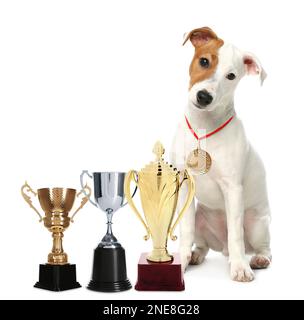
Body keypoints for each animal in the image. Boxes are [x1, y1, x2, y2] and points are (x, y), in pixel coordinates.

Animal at [170, 27, 272, 282]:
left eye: (231, 76)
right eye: (204, 61)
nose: (204, 97)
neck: (203, 129)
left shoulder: (233, 189)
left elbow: (235, 235)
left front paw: (240, 268)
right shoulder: (184, 185)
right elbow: (185, 231)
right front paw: (182, 260)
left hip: (257, 224)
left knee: (261, 246)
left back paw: (258, 259)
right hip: (201, 219)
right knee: (204, 246)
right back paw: (195, 256)